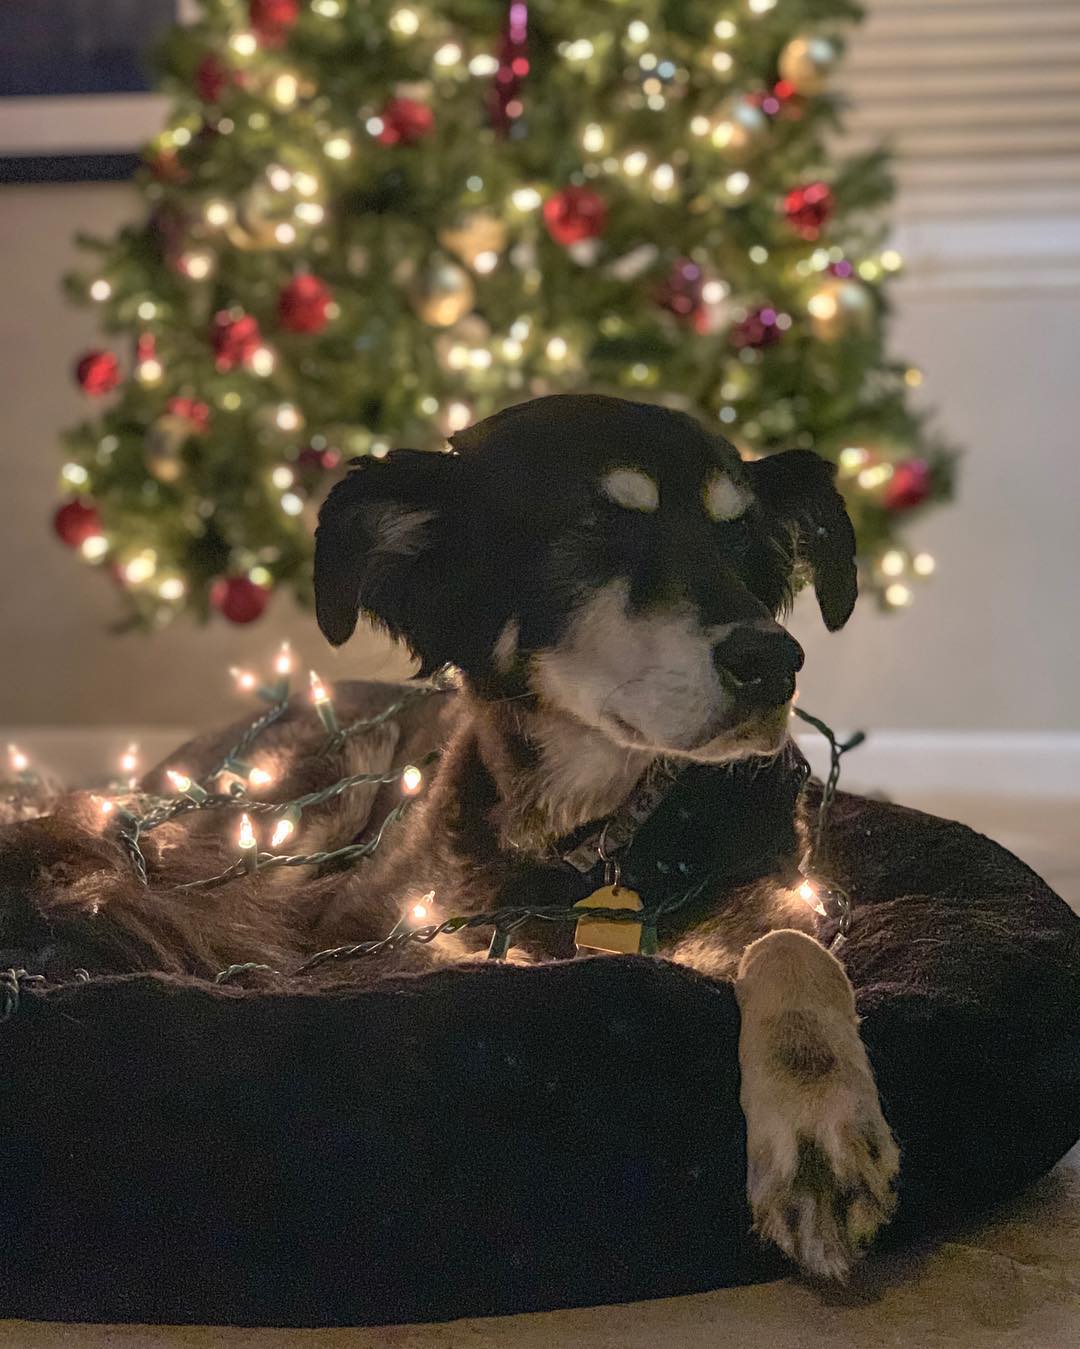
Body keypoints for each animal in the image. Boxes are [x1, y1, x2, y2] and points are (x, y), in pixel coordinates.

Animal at [0, 393, 897, 1282]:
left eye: (740, 536)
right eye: (598, 526)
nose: (775, 660)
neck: (595, 833)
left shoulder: (789, 896)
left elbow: (788, 947)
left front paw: (820, 1128)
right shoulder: (377, 930)